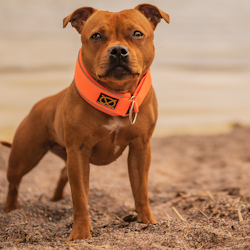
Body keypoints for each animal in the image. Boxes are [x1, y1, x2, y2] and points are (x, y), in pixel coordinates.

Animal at [0, 3, 170, 241]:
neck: (114, 96)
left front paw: (147, 221)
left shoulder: (140, 148)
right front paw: (81, 233)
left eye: (137, 34)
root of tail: (40, 104)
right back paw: (10, 210)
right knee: (14, 183)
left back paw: (56, 201)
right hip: (24, 156)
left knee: (62, 173)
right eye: (96, 36)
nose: (118, 51)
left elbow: (141, 190)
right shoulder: (79, 153)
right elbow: (80, 197)